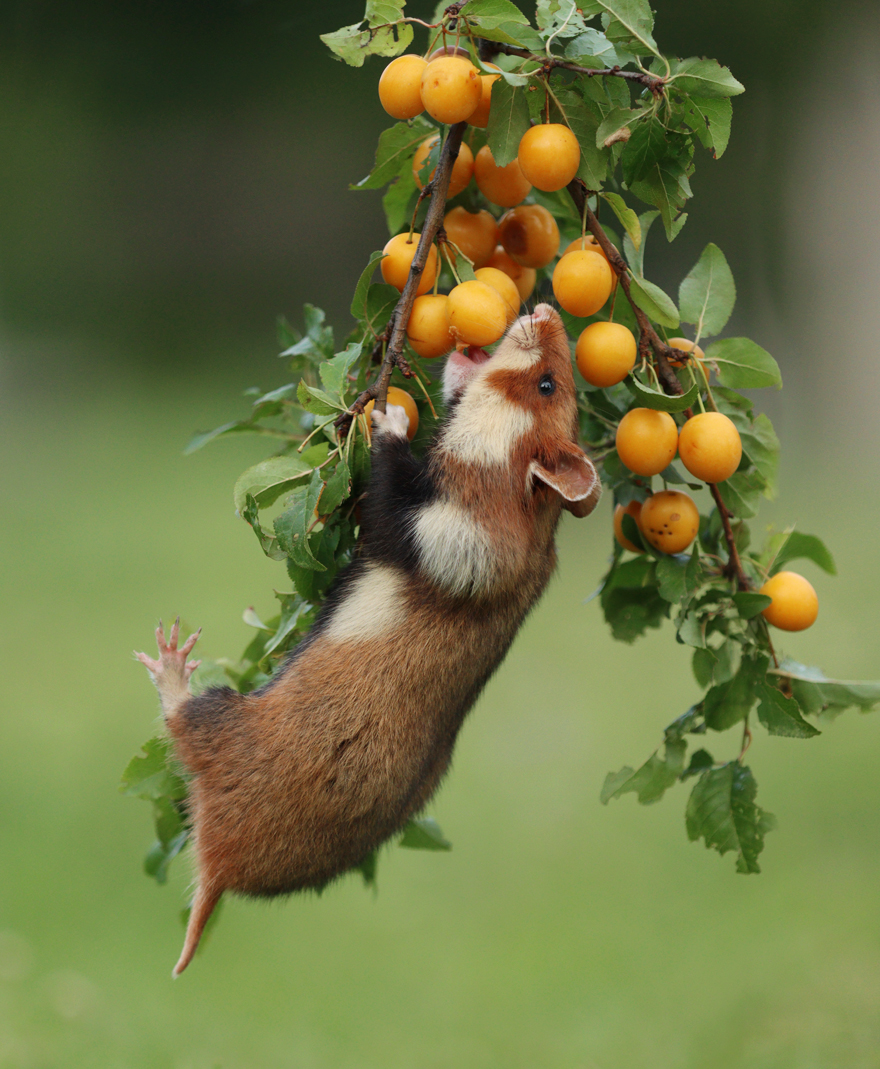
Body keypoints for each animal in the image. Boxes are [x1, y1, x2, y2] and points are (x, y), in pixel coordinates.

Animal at [136, 303, 600, 976]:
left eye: (545, 385)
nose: (543, 307)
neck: (503, 481)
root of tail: (218, 871)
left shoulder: (439, 528)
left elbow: (386, 480)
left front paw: (389, 416)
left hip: (219, 716)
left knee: (180, 718)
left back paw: (171, 657)